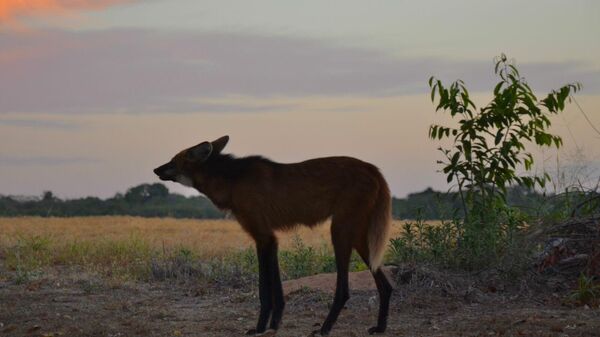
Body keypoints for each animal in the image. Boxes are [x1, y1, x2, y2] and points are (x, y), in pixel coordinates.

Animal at [152, 136, 392, 334]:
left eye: (172, 161)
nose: (155, 169)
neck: (232, 181)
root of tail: (373, 168)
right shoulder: (271, 239)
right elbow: (277, 290)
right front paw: (274, 325)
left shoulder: (262, 237)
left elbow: (264, 291)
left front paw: (259, 328)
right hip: (358, 237)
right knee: (386, 286)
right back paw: (380, 327)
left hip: (339, 232)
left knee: (344, 290)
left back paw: (324, 329)